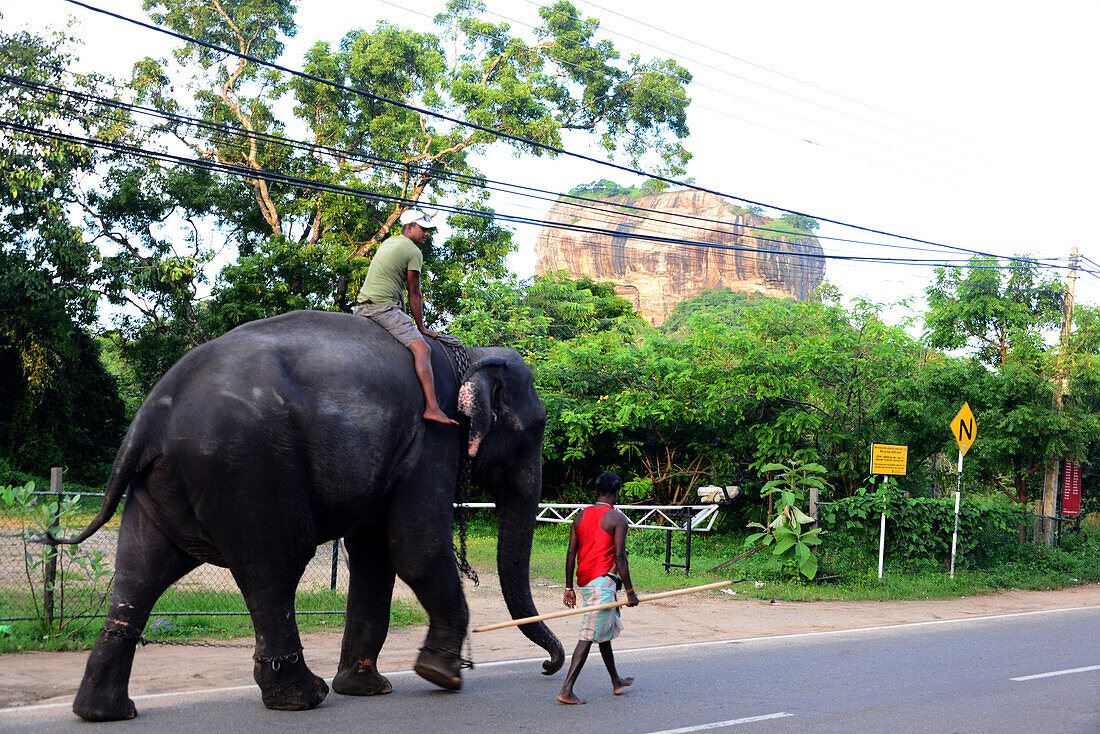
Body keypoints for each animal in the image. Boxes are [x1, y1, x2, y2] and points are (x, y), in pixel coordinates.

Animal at [56, 310, 563, 721]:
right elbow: (415, 550)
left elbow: (375, 559)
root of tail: (148, 420)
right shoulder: (432, 439)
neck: (467, 353)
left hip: (163, 484)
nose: (547, 666)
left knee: (141, 570)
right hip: (247, 472)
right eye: (535, 428)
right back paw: (304, 698)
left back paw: (102, 711)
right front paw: (442, 677)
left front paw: (368, 689)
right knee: (275, 566)